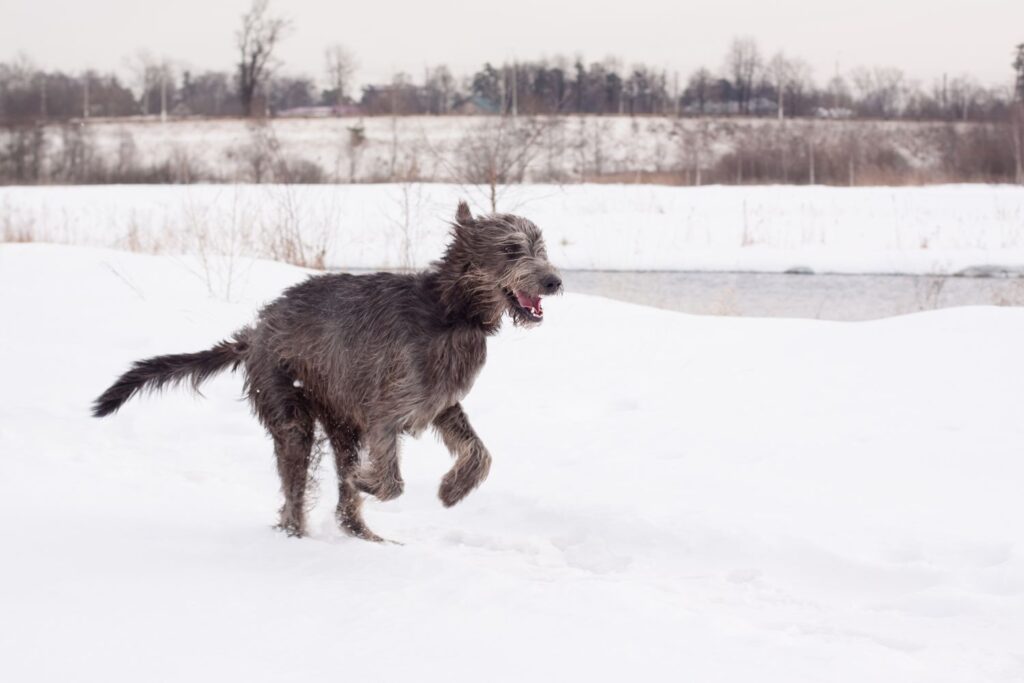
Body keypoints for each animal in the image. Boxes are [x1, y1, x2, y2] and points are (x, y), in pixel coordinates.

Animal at [92, 200, 565, 540]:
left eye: (541, 248)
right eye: (511, 249)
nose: (555, 282)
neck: (450, 313)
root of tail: (256, 331)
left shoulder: (440, 403)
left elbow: (480, 453)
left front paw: (453, 490)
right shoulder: (385, 410)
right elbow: (391, 481)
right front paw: (370, 482)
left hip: (339, 420)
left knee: (341, 502)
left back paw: (365, 535)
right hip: (289, 409)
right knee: (294, 492)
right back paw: (299, 536)